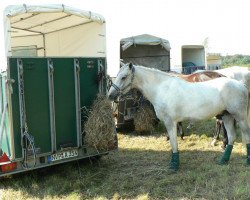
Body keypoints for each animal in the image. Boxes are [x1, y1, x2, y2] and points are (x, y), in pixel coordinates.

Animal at [108, 63, 250, 172]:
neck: (162, 89)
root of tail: (240, 85)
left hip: (240, 117)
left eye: (124, 77)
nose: (110, 95)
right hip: (227, 116)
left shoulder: (170, 122)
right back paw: (223, 160)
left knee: (245, 134)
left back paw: (246, 161)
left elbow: (173, 142)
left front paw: (174, 165)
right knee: (231, 136)